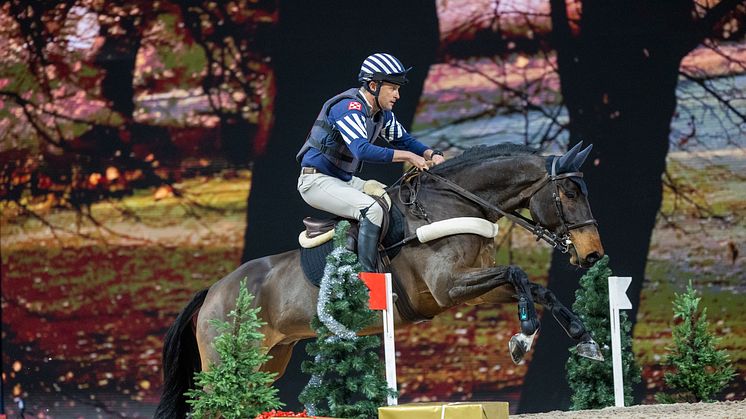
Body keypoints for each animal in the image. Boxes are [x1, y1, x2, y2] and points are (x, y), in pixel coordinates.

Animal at [157, 143, 604, 418]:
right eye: (569, 192)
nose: (593, 254)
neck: (453, 203)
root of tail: (213, 291)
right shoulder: (448, 287)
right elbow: (519, 273)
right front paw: (522, 338)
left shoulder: (471, 292)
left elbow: (537, 287)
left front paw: (586, 341)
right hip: (225, 362)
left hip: (268, 359)